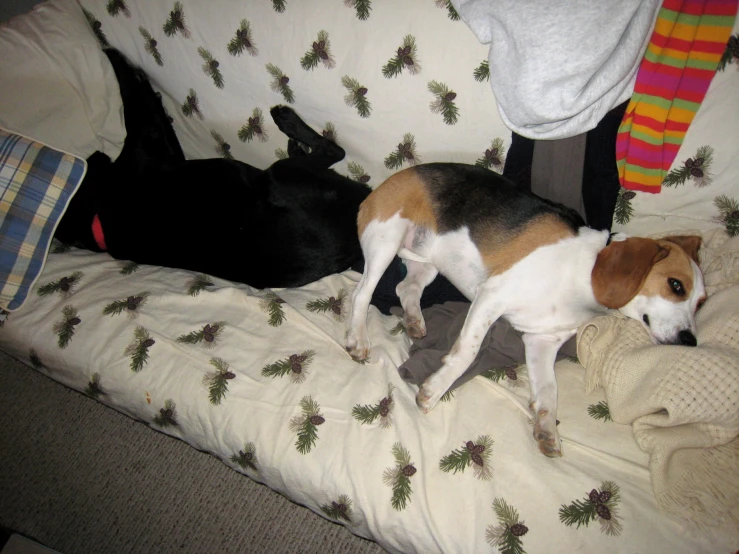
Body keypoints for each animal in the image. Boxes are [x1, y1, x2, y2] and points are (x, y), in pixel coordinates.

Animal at [346, 162, 704, 454]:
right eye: (676, 285)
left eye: (701, 303)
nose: (691, 341)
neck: (585, 274)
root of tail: (390, 180)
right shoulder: (491, 297)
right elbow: (467, 354)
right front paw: (434, 390)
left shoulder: (541, 341)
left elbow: (549, 390)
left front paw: (547, 428)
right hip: (386, 241)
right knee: (361, 294)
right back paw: (359, 339)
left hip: (428, 263)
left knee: (405, 288)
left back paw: (414, 320)